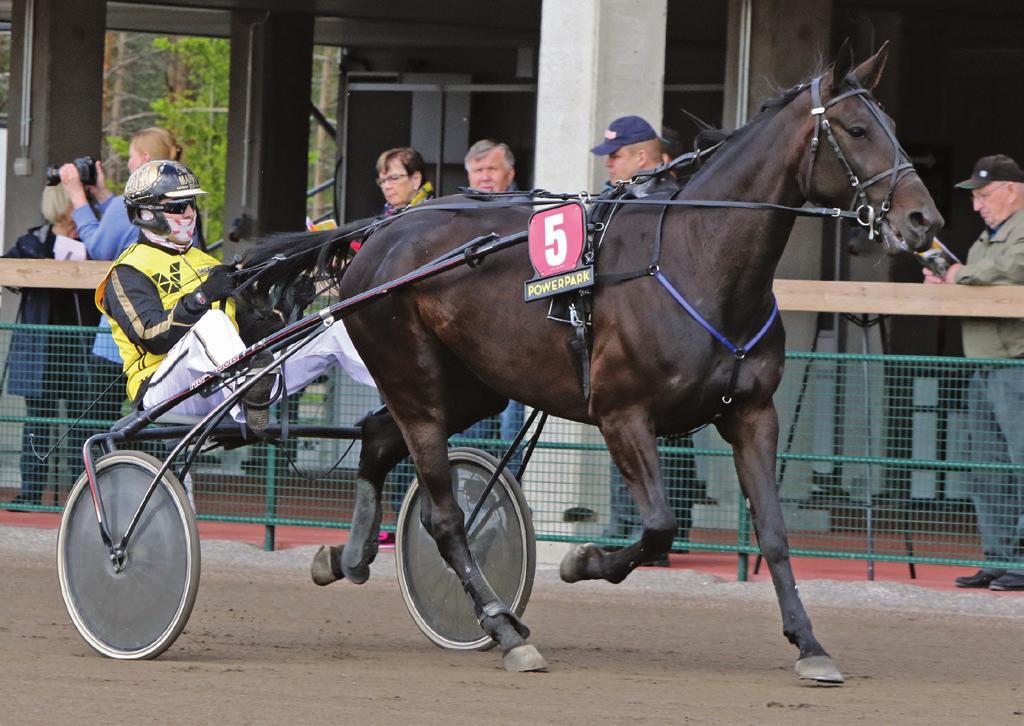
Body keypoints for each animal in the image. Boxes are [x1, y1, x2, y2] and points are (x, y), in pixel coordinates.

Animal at [241, 45, 942, 679]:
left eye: (891, 125)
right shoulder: (621, 413)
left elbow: (772, 531)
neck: (698, 259)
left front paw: (809, 644)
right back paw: (503, 626)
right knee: (444, 516)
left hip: (471, 386)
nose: (923, 219)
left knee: (376, 436)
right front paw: (583, 560)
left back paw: (348, 556)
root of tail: (379, 234)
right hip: (414, 381)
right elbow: (658, 525)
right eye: (857, 130)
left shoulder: (751, 413)